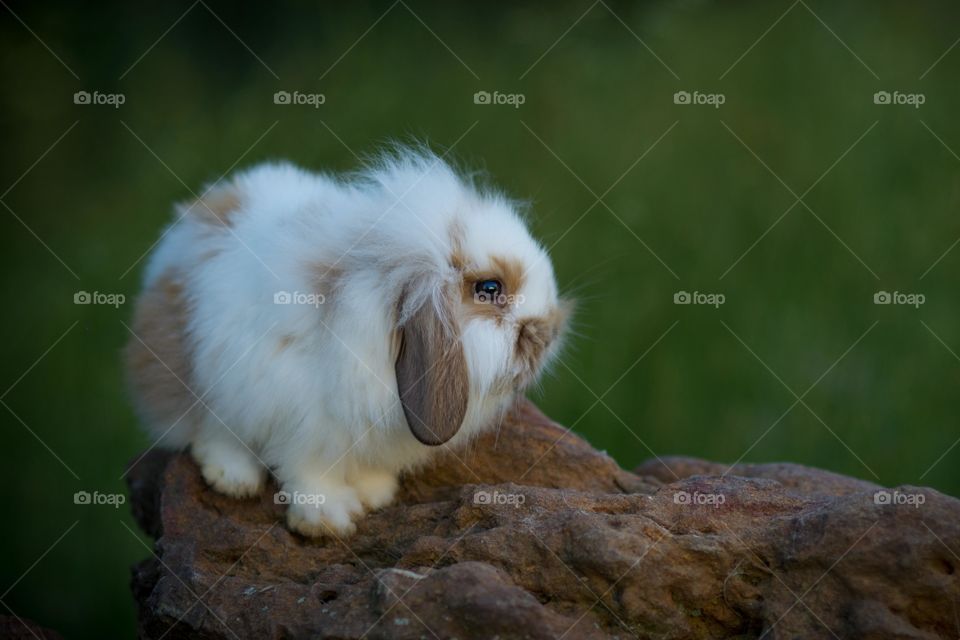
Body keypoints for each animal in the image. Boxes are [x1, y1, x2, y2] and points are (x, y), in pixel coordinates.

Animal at [124, 147, 569, 537]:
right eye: (489, 288)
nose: (548, 332)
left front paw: (376, 492)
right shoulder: (302, 421)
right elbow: (308, 471)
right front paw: (328, 521)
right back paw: (233, 479)